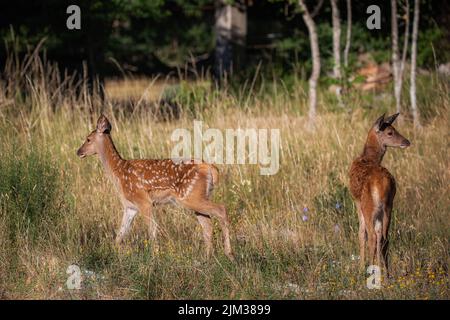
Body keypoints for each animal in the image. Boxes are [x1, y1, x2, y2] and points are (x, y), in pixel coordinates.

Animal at [76, 115, 234, 260]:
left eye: (88, 139)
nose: (78, 151)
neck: (119, 173)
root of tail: (210, 168)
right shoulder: (130, 207)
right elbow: (119, 236)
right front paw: (117, 256)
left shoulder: (144, 201)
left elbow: (152, 231)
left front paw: (155, 258)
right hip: (196, 197)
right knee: (207, 224)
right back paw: (206, 258)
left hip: (190, 196)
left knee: (221, 209)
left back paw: (229, 254)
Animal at [350, 114, 410, 274]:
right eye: (390, 132)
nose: (407, 141)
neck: (369, 158)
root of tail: (381, 183)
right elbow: (378, 234)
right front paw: (379, 266)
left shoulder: (357, 201)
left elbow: (361, 233)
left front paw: (361, 266)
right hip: (388, 205)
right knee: (384, 237)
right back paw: (387, 273)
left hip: (368, 206)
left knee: (372, 236)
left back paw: (369, 270)